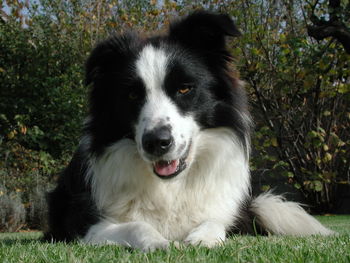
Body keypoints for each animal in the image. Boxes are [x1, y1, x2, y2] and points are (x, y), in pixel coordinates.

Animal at [43, 11, 334, 252]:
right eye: (132, 95)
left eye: (184, 88)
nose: (156, 142)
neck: (171, 186)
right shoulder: (85, 226)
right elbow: (137, 225)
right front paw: (160, 242)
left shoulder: (221, 213)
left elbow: (215, 223)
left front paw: (202, 239)